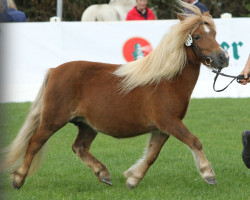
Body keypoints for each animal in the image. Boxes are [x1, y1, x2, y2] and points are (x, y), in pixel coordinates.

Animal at [1, 0, 229, 190]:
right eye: (197, 36)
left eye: (214, 34)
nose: (223, 58)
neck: (165, 80)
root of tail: (55, 70)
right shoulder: (170, 123)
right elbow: (194, 142)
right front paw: (208, 174)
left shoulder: (162, 129)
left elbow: (152, 155)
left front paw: (133, 178)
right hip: (52, 120)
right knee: (34, 143)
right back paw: (18, 179)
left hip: (87, 125)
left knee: (79, 147)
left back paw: (103, 173)